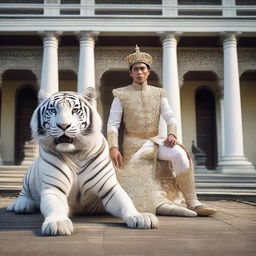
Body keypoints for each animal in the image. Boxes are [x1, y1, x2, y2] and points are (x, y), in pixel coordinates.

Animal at [7, 88, 159, 236]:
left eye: (74, 110)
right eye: (53, 110)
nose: (63, 125)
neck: (75, 154)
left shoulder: (108, 187)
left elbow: (126, 202)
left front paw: (140, 216)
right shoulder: (54, 188)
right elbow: (55, 206)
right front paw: (58, 223)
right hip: (29, 174)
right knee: (24, 192)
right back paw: (22, 205)